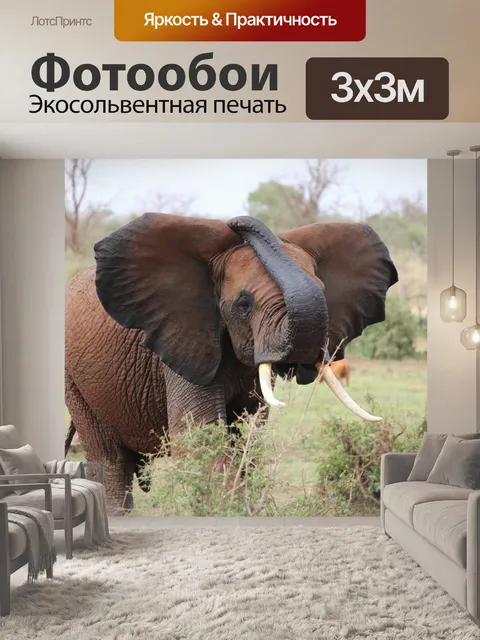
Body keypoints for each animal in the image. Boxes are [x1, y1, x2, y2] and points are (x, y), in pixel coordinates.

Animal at [65, 214, 398, 514]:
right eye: (244, 304)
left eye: (324, 293)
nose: (237, 223)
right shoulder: (186, 339)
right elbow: (201, 434)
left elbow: (247, 435)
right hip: (74, 379)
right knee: (109, 458)